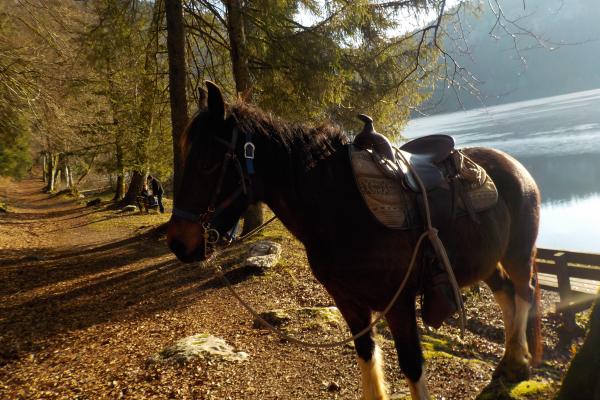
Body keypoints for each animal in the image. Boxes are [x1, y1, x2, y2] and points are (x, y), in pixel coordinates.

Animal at [166, 82, 540, 400]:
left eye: (207, 161)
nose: (178, 242)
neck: (341, 209)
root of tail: (514, 164)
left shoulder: (398, 302)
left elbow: (412, 365)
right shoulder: (347, 301)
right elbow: (366, 355)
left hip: (518, 253)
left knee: (524, 292)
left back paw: (519, 363)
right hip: (486, 261)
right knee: (505, 293)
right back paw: (510, 358)